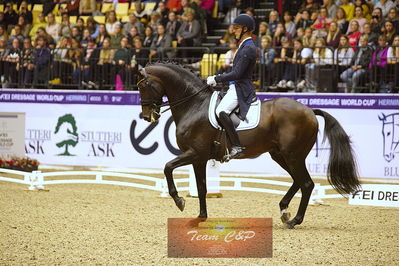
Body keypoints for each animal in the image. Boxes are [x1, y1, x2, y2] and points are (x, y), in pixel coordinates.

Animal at [138, 62, 362, 229]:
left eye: (142, 86)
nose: (146, 116)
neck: (194, 105)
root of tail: (309, 110)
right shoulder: (199, 158)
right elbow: (201, 188)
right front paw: (200, 217)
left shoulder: (194, 153)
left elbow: (167, 168)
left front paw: (179, 201)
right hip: (280, 155)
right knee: (299, 181)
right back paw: (284, 211)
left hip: (293, 155)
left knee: (306, 183)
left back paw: (294, 221)